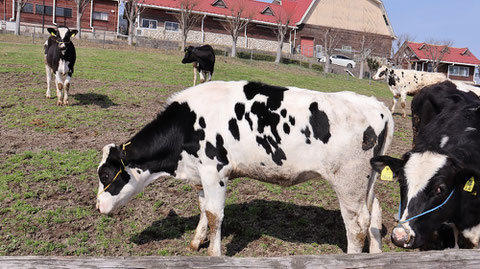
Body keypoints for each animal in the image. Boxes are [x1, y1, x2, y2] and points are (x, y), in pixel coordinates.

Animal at [96, 80, 394, 255]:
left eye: (105, 174)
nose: (98, 206)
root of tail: (375, 104)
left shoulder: (214, 171)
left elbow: (215, 215)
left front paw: (214, 254)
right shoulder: (201, 174)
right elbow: (203, 208)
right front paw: (196, 241)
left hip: (348, 182)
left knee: (356, 225)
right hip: (366, 182)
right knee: (375, 212)